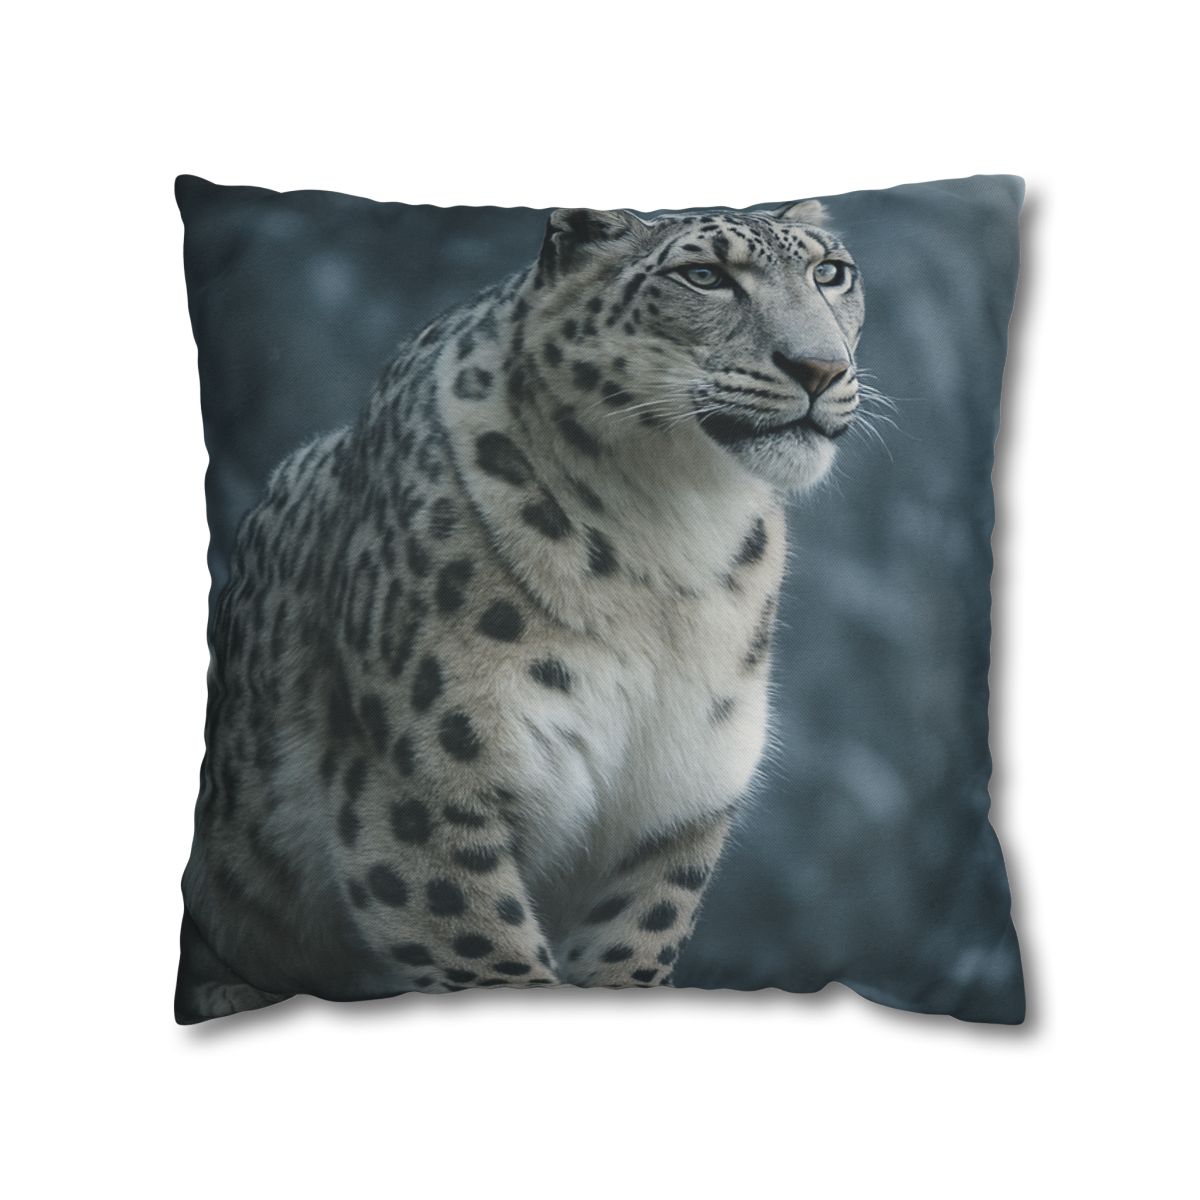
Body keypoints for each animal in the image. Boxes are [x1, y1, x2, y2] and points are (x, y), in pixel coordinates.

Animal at [176, 198, 866, 1021]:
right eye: (703, 276)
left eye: (830, 272)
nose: (821, 367)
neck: (678, 536)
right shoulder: (421, 793)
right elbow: (487, 951)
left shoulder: (674, 811)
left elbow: (634, 946)